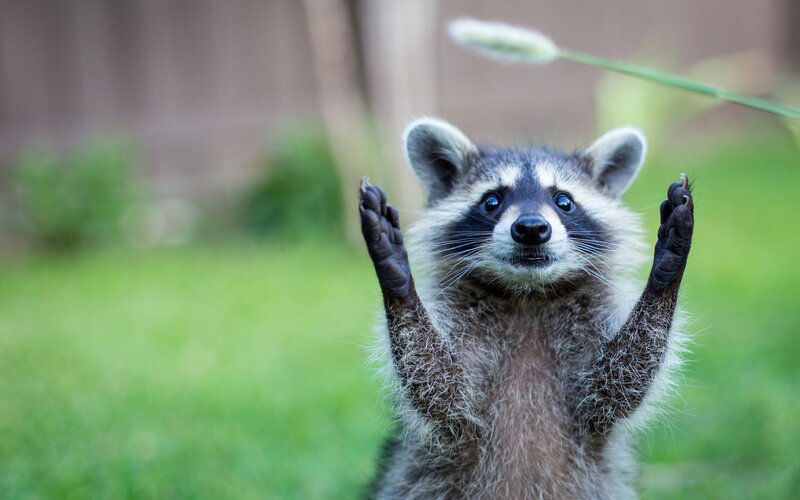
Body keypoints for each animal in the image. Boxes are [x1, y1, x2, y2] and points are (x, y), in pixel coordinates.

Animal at [359, 118, 694, 499]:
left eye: (564, 201)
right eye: (492, 201)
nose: (531, 228)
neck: (528, 294)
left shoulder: (592, 332)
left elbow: (620, 380)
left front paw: (665, 274)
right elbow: (439, 384)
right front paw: (397, 279)